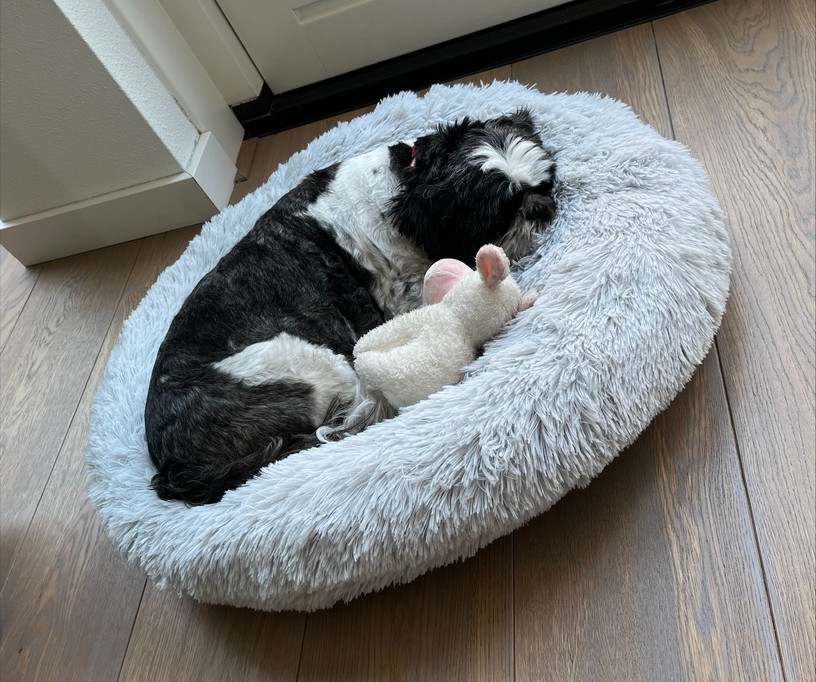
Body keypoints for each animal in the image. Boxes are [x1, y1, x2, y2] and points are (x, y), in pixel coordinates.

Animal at [145, 109, 556, 502]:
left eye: (545, 183)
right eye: (499, 215)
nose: (541, 209)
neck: (407, 180)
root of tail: (176, 467)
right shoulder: (404, 294)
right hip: (307, 364)